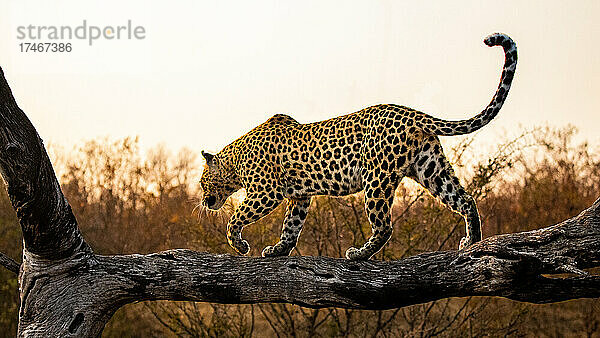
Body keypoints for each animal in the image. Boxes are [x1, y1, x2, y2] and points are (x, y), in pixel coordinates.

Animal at [200, 33, 516, 260]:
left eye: (203, 183)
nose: (203, 201)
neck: (235, 159)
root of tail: (413, 113)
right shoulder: (300, 197)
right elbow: (291, 227)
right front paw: (278, 250)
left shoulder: (265, 192)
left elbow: (236, 218)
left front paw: (239, 244)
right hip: (430, 168)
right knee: (465, 200)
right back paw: (472, 243)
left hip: (376, 178)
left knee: (385, 225)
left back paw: (359, 255)